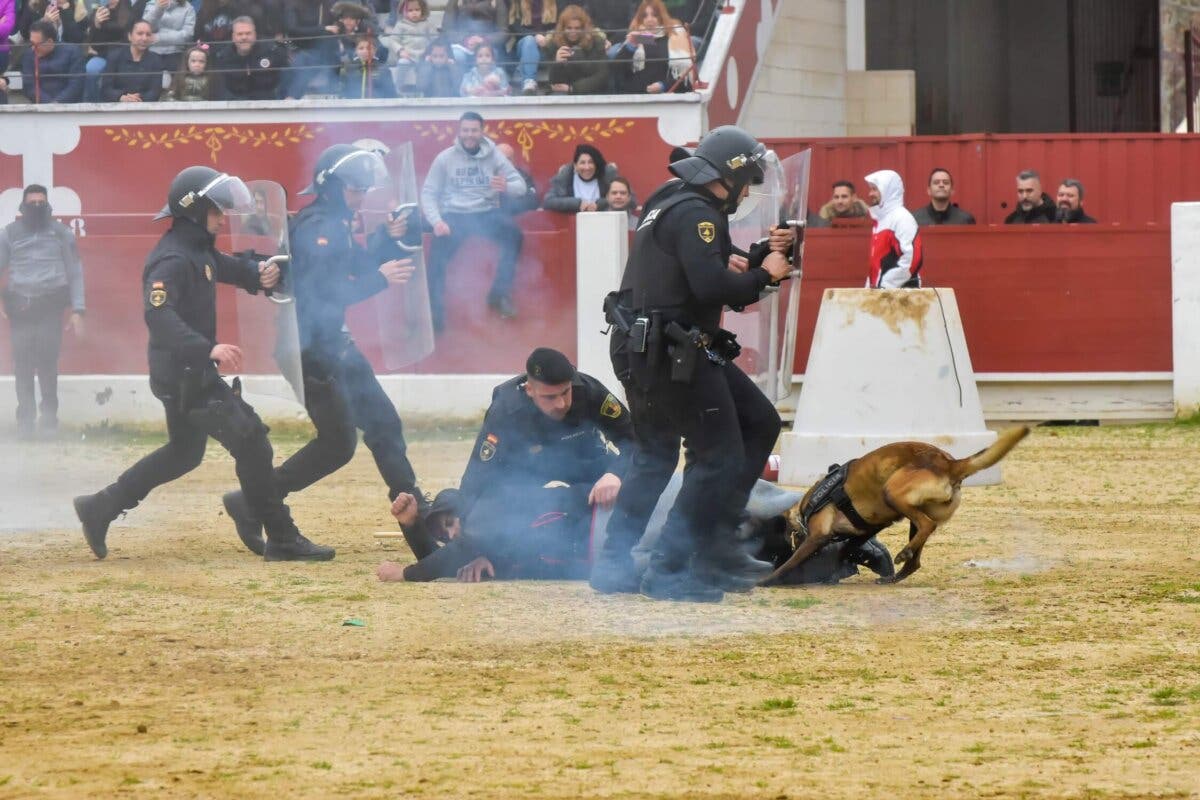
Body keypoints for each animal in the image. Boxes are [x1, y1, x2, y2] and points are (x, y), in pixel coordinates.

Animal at [758, 424, 1032, 587]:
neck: (809, 503)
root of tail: (949, 464)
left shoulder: (818, 536)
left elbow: (791, 563)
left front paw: (768, 579)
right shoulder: (865, 530)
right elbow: (847, 548)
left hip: (893, 492)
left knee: (927, 526)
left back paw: (903, 554)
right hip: (914, 511)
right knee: (917, 555)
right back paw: (897, 573)